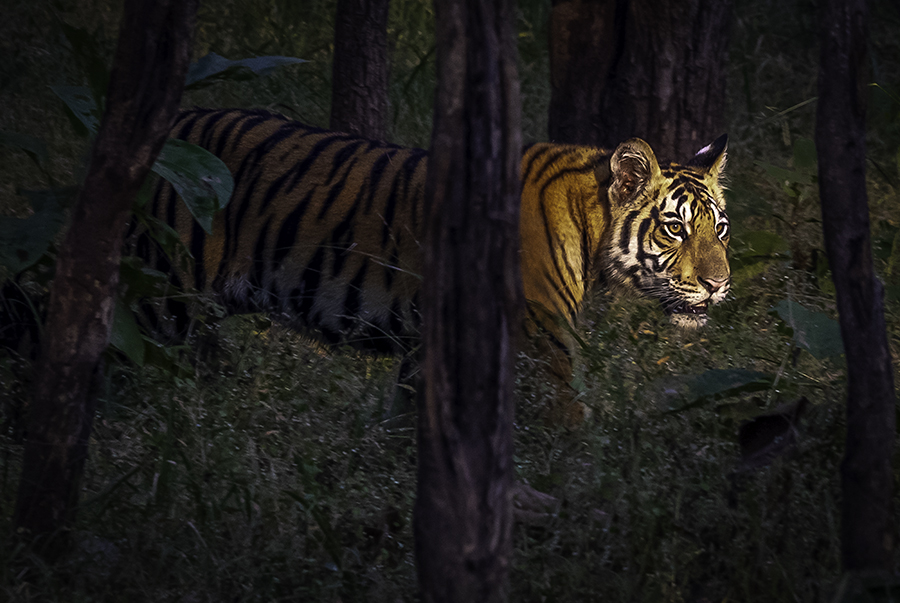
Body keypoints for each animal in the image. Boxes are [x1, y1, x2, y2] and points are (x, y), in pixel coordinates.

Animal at [142, 107, 732, 420]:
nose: (718, 284)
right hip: (163, 306)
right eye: (675, 228)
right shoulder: (543, 350)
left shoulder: (427, 353)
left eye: (720, 229)